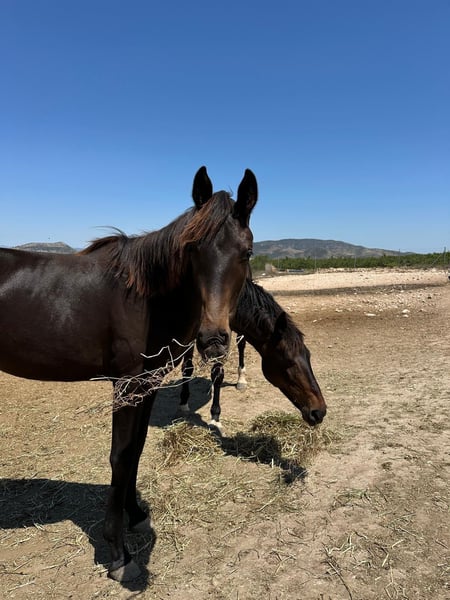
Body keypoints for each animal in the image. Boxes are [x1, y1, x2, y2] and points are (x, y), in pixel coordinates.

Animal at [0, 166, 258, 581]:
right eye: (191, 249)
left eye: (246, 252)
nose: (213, 340)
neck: (145, 296)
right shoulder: (126, 385)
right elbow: (120, 456)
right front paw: (119, 553)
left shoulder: (147, 385)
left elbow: (136, 448)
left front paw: (135, 514)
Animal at [179, 278, 326, 429]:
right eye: (288, 361)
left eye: (308, 355)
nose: (319, 412)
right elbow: (188, 367)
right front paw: (185, 403)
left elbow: (217, 372)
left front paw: (215, 416)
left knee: (241, 344)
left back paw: (241, 380)